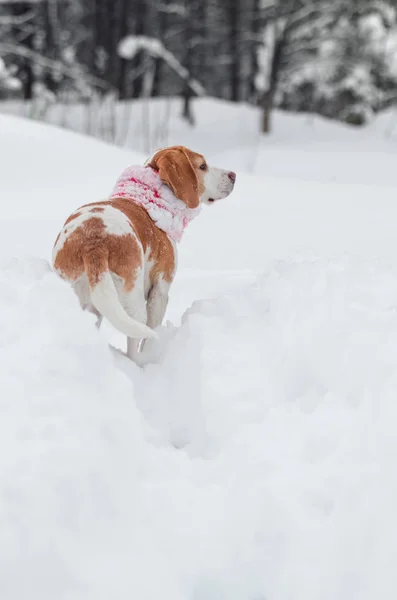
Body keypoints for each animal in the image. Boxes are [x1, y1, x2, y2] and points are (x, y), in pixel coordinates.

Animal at [54, 145, 237, 360]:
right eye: (203, 166)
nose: (233, 175)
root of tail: (94, 243)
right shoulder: (160, 291)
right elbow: (151, 335)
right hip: (134, 306)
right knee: (135, 345)